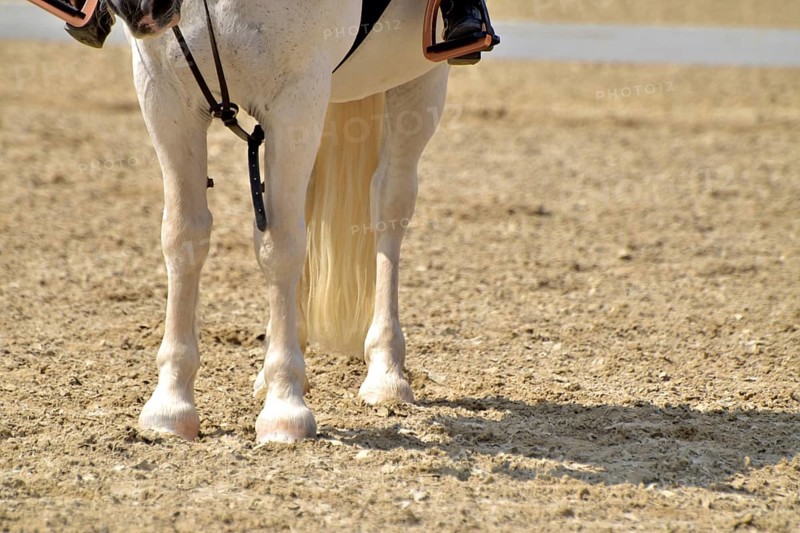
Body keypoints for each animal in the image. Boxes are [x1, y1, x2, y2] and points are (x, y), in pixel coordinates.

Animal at [106, 0, 453, 443]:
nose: (140, 7)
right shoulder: (164, 95)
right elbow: (183, 238)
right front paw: (170, 404)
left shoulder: (296, 98)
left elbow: (280, 247)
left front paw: (284, 409)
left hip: (417, 79)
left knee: (389, 203)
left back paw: (386, 373)